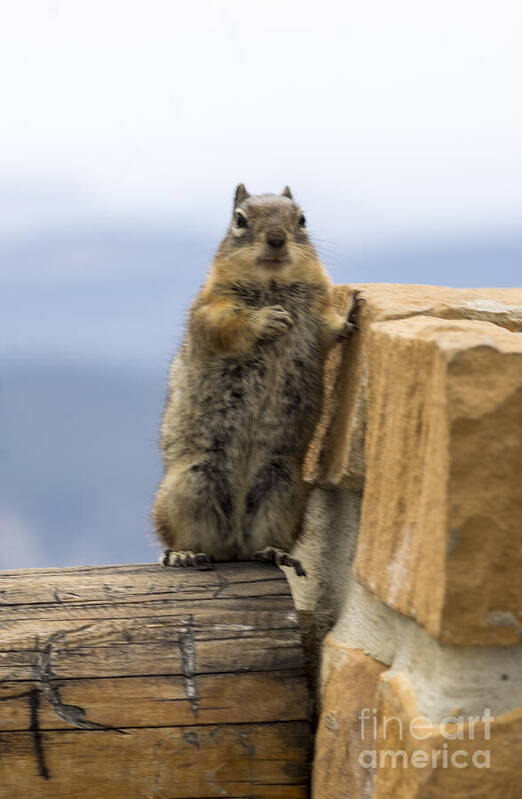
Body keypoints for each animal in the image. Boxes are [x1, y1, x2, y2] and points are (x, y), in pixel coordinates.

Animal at [152, 186, 360, 576]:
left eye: (302, 218)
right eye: (239, 219)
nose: (276, 238)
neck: (273, 284)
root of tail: (232, 546)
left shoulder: (318, 316)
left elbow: (333, 329)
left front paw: (353, 309)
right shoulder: (210, 307)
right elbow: (227, 324)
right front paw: (267, 320)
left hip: (284, 490)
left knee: (266, 540)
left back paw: (274, 553)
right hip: (188, 487)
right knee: (184, 538)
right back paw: (183, 555)